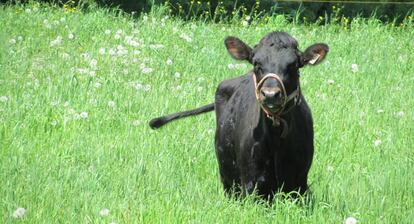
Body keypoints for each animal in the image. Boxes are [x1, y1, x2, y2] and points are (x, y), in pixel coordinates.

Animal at [150, 31, 330, 200]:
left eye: (293, 65)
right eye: (257, 63)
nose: (270, 94)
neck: (276, 140)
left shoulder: (299, 182)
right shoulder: (251, 182)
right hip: (227, 176)